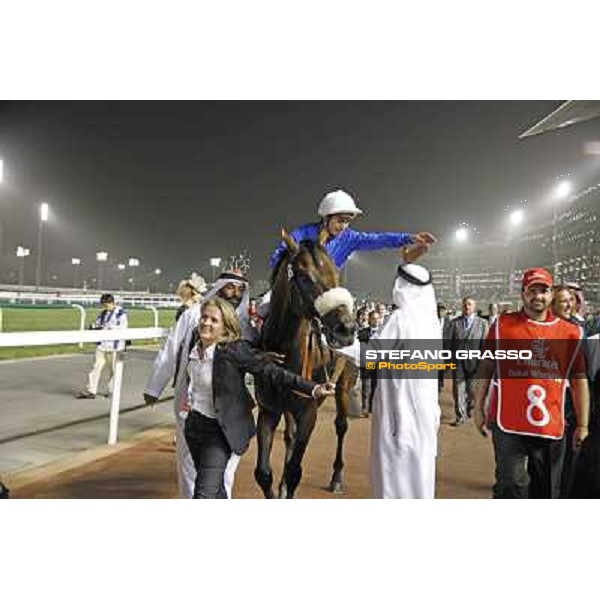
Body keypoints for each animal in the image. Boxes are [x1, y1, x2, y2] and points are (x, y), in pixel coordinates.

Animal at [253, 232, 356, 500]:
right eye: (304, 276)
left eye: (336, 273)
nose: (347, 329)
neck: (284, 348)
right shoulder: (268, 409)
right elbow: (263, 473)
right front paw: (277, 488)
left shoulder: (308, 411)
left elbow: (294, 471)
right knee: (289, 436)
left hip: (343, 385)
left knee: (341, 425)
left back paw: (337, 478)